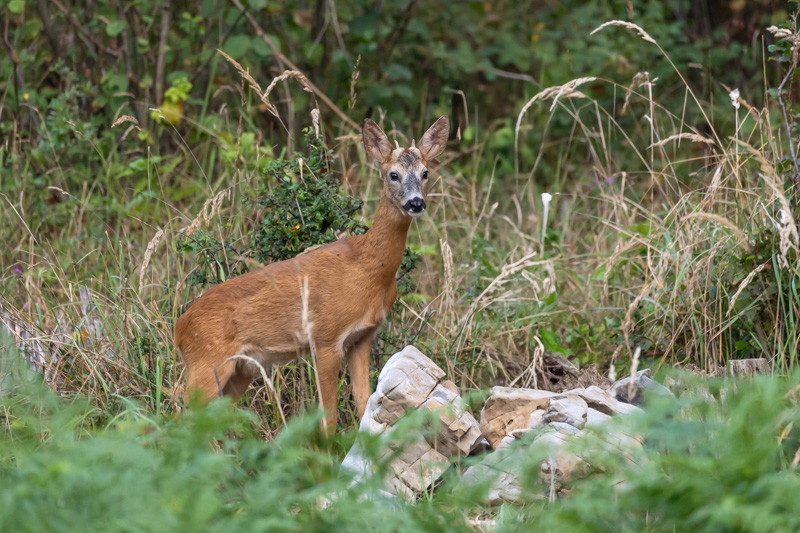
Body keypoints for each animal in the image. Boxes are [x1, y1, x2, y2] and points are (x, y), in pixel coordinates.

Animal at [176, 114, 450, 430]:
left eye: (425, 172)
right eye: (393, 174)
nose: (415, 203)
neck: (368, 271)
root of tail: (179, 328)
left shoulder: (362, 338)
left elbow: (363, 402)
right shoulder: (326, 337)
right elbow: (328, 417)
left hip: (241, 369)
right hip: (207, 363)